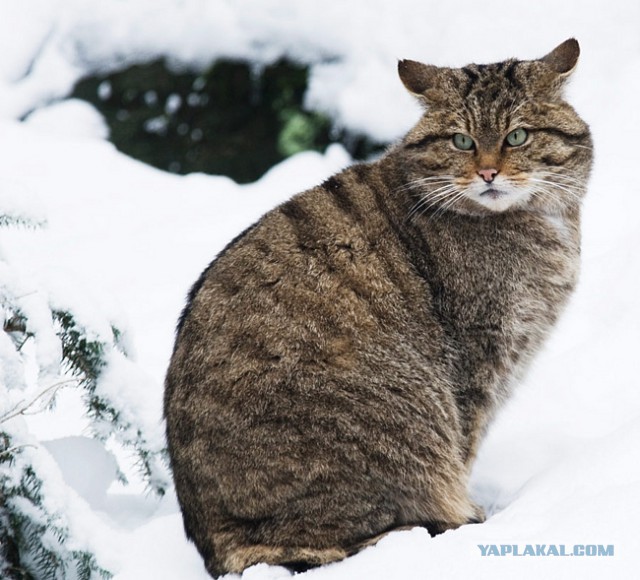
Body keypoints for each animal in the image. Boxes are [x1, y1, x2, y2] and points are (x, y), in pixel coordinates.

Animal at [162, 38, 592, 576]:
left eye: (517, 136)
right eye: (462, 141)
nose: (488, 171)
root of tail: (217, 543)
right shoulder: (478, 361)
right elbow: (465, 446)